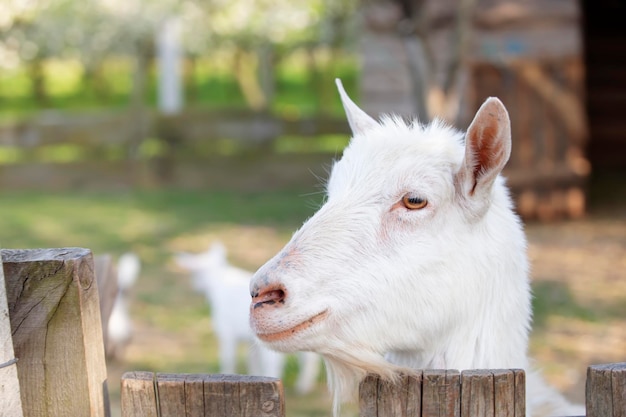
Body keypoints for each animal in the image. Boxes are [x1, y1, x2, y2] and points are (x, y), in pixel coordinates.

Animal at [173, 240, 320, 394]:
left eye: (196, 274)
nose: (195, 287)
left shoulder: (227, 332)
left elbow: (228, 358)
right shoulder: (251, 340)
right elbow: (251, 360)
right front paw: (256, 375)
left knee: (274, 363)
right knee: (308, 358)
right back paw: (303, 385)